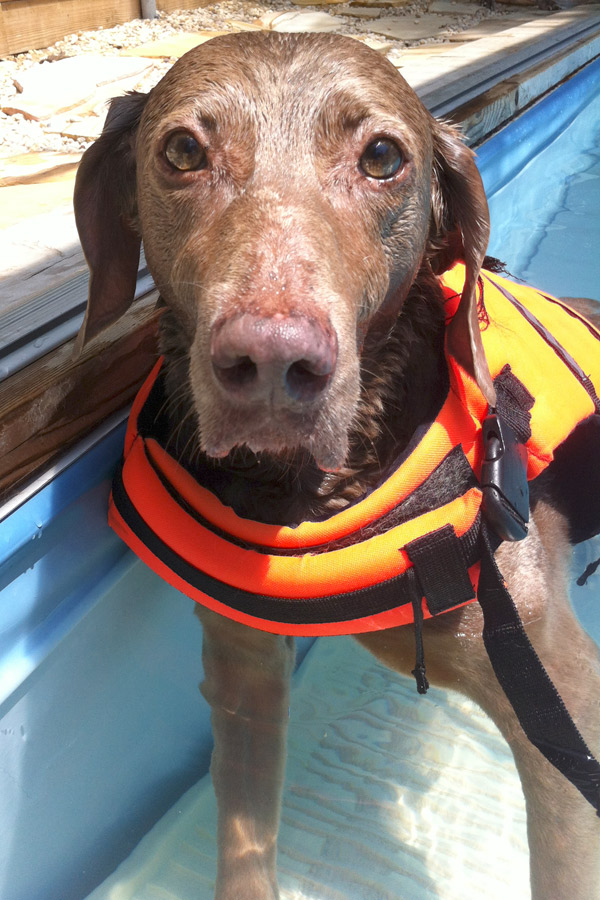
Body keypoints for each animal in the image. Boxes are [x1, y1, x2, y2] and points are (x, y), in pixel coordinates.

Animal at [72, 29, 596, 900]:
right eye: (182, 150)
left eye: (382, 156)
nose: (272, 363)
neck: (310, 490)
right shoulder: (244, 665)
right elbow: (244, 839)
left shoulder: (560, 706)